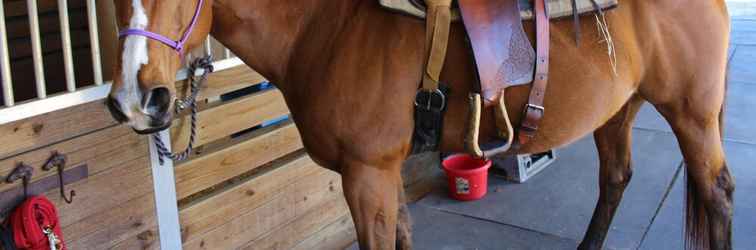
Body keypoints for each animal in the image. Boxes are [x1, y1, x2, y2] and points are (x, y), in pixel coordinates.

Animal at [106, 0, 732, 250]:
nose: (137, 100)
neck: (327, 26)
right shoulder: (381, 174)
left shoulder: (366, 174)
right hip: (620, 108)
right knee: (616, 180)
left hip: (692, 115)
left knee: (717, 193)